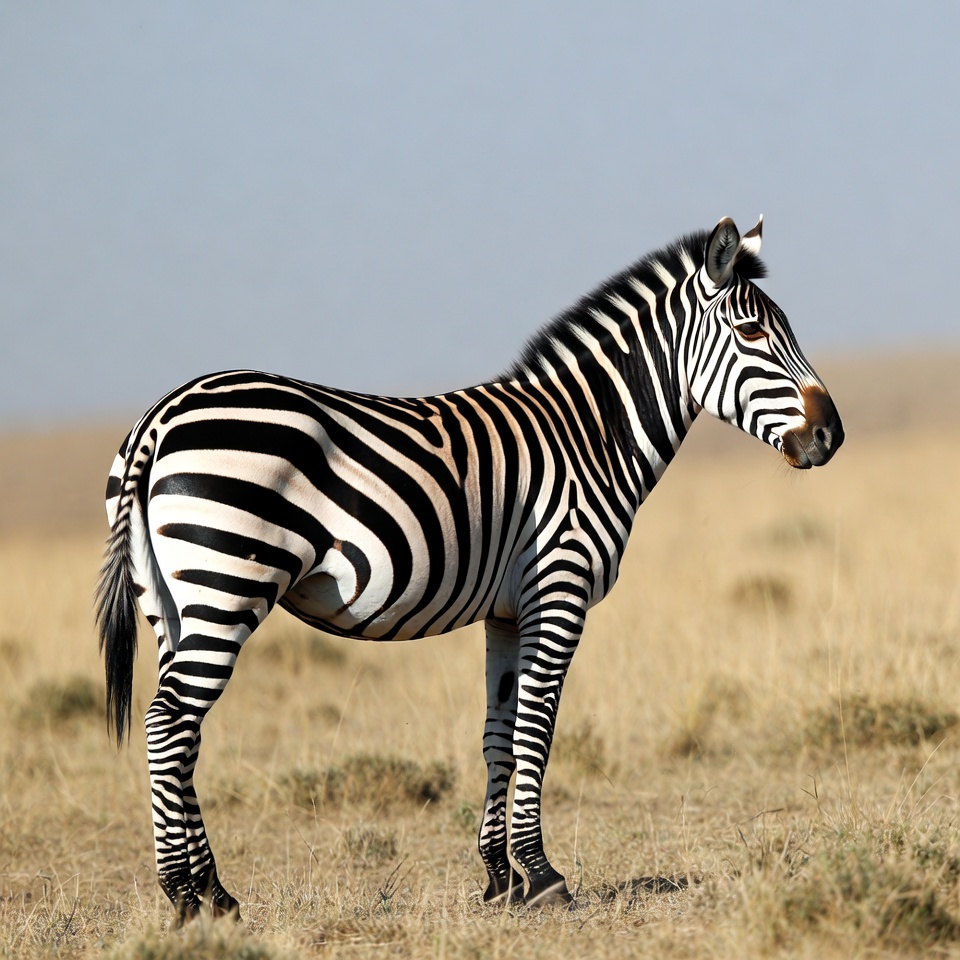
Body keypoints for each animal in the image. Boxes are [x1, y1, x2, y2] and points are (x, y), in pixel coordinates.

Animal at [96, 216, 843, 921]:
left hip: (171, 602)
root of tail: (159, 418)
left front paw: (499, 879)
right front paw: (544, 878)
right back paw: (185, 897)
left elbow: (499, 736)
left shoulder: (507, 612)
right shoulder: (559, 588)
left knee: (181, 731)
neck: (590, 435)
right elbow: (537, 732)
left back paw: (214, 892)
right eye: (752, 332)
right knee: (167, 723)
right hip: (228, 583)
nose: (831, 436)